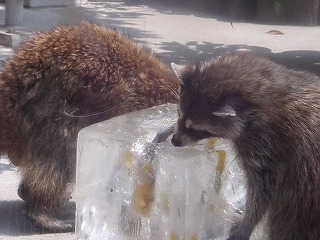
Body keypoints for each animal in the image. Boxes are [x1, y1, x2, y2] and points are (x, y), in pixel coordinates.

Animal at [171, 52, 320, 240]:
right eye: (179, 115)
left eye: (196, 129)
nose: (174, 141)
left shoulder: (266, 142)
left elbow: (262, 190)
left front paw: (246, 224)